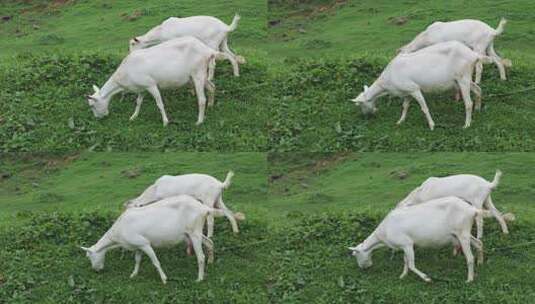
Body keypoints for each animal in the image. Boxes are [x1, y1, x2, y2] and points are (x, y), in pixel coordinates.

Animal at [79, 195, 222, 282]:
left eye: (90, 256)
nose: (96, 270)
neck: (118, 234)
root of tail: (204, 208)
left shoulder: (144, 244)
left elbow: (155, 262)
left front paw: (164, 279)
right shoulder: (137, 245)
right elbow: (137, 260)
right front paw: (133, 274)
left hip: (194, 232)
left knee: (200, 257)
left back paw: (200, 278)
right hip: (191, 232)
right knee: (209, 242)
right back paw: (211, 261)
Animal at [86, 36, 232, 126]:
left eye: (92, 105)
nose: (99, 118)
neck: (124, 75)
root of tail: (208, 50)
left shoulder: (151, 84)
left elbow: (159, 104)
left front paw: (165, 122)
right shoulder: (142, 87)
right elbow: (138, 102)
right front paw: (133, 116)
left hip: (197, 74)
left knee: (201, 99)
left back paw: (199, 121)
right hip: (200, 75)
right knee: (212, 86)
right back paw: (211, 106)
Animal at [350, 197, 488, 282]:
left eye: (356, 254)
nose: (363, 268)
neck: (383, 234)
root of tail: (472, 209)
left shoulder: (407, 244)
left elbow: (411, 264)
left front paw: (427, 278)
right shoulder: (405, 245)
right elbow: (406, 261)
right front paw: (403, 275)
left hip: (462, 233)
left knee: (470, 257)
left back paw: (469, 279)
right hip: (461, 233)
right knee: (479, 243)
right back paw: (480, 263)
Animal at [354, 40, 492, 129]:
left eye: (361, 105)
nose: (366, 116)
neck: (386, 83)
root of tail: (474, 55)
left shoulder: (414, 89)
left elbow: (424, 108)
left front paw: (432, 125)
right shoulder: (407, 92)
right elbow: (405, 106)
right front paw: (400, 121)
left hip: (463, 78)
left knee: (468, 103)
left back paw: (467, 124)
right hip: (462, 79)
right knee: (478, 89)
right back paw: (478, 109)